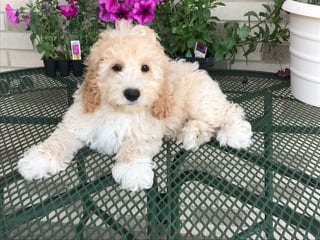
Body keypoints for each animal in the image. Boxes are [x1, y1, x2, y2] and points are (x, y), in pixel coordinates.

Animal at [17, 20, 252, 191]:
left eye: (145, 68)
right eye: (116, 67)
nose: (132, 93)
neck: (119, 109)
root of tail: (199, 70)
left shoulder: (145, 130)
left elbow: (134, 148)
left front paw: (133, 172)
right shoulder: (77, 122)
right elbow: (58, 139)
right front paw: (37, 159)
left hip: (201, 100)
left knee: (229, 111)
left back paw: (234, 133)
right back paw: (192, 133)